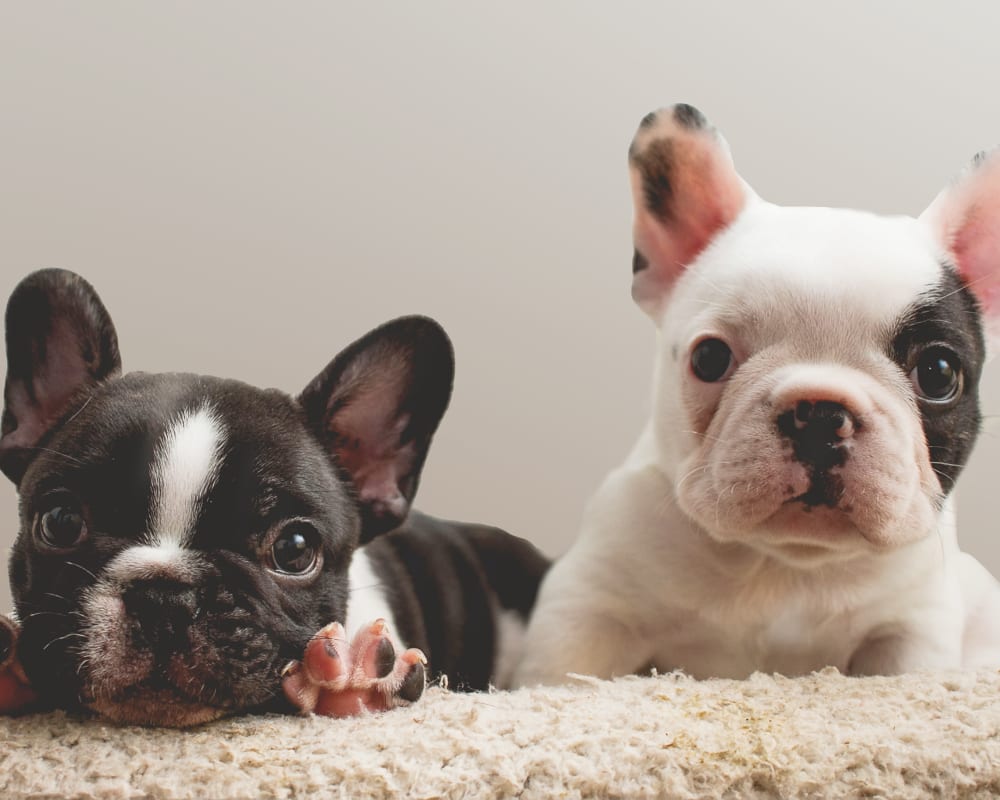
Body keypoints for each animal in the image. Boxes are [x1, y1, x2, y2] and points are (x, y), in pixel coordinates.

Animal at [512, 103, 1000, 684]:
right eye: (709, 359)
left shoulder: (908, 630)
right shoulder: (591, 606)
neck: (783, 561)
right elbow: (562, 674)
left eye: (938, 373)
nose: (821, 413)